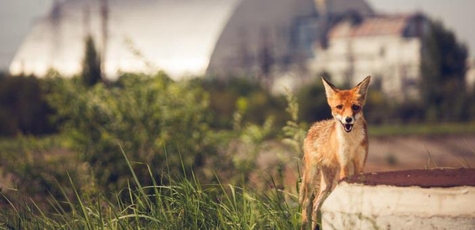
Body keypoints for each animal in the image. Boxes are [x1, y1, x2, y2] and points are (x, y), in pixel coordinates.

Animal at [302, 76, 372, 229]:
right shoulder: (344, 164)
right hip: (311, 177)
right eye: (339, 107)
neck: (351, 142)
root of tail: (313, 127)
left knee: (316, 203)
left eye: (355, 107)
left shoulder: (360, 164)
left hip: (327, 183)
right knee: (306, 204)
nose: (348, 119)